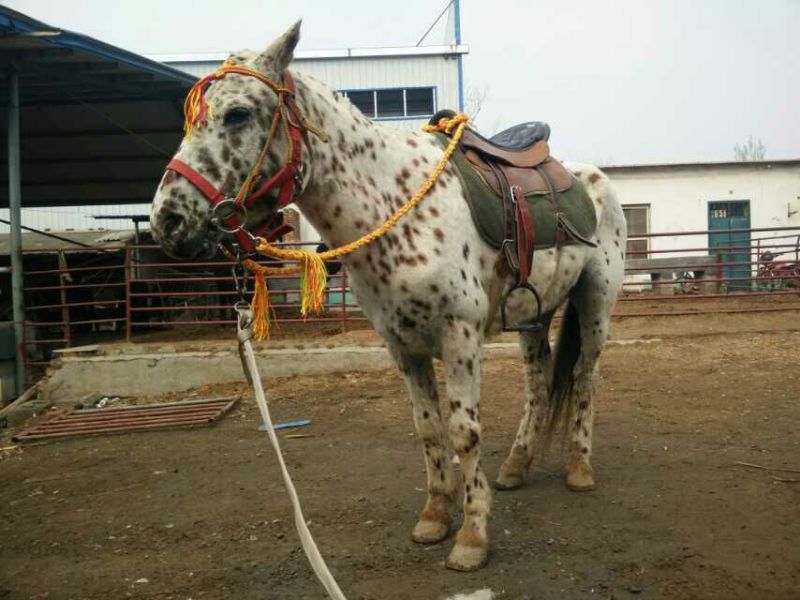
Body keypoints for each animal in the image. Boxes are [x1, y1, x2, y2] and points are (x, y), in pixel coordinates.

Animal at [149, 22, 626, 572]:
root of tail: (591, 177)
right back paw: (516, 464)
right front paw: (435, 516)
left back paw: (579, 468)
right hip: (534, 313)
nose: (167, 221)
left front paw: (472, 537)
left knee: (585, 378)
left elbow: (463, 432)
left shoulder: (460, 337)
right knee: (539, 382)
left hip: (595, 304)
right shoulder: (402, 345)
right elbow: (428, 429)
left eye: (238, 114)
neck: (393, 206)